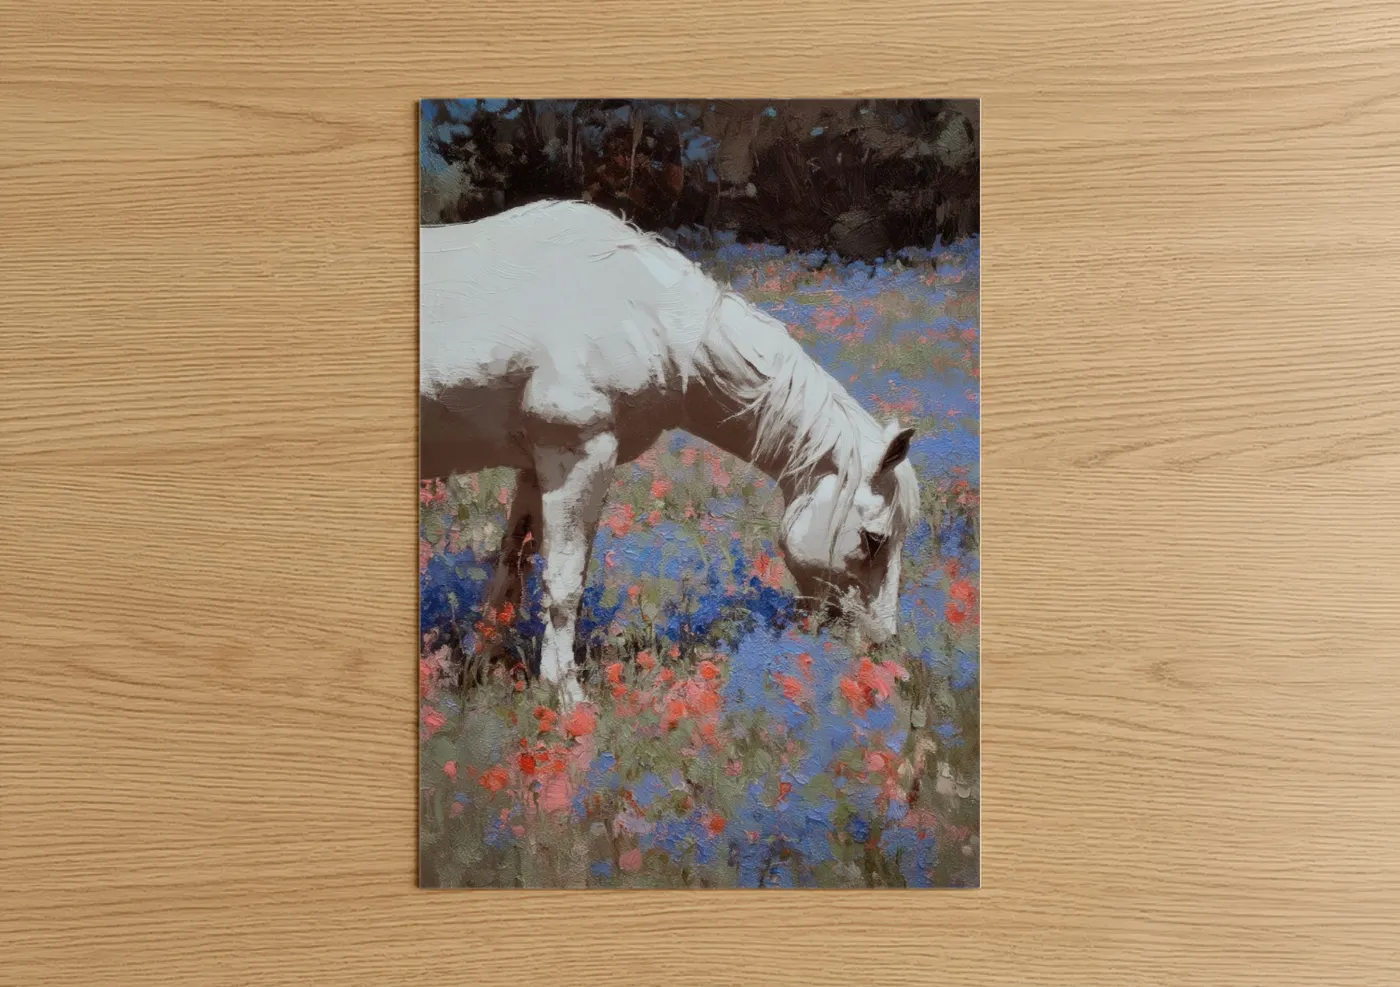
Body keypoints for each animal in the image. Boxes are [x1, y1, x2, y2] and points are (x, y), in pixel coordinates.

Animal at [420, 199, 920, 704]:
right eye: (874, 539)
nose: (881, 645)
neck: (646, 313)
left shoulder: (534, 466)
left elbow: (511, 569)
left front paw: (482, 668)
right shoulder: (577, 457)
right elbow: (563, 583)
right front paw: (567, 698)